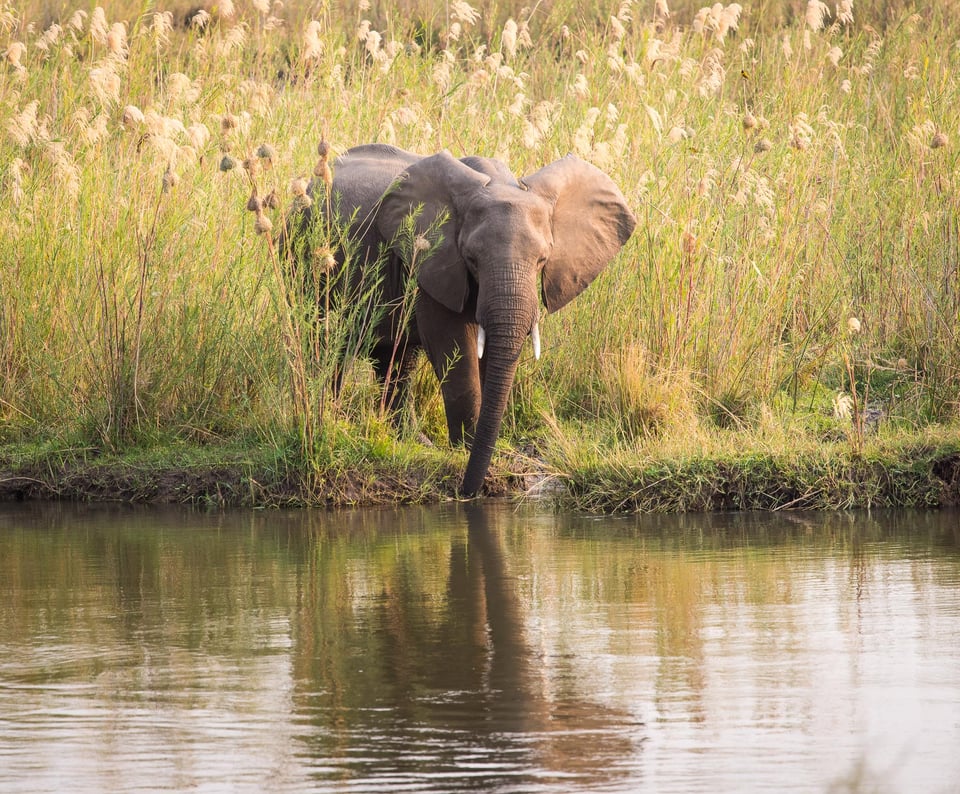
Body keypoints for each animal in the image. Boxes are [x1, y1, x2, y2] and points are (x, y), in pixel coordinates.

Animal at [292, 144, 636, 496]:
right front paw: (467, 449)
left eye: (543, 260)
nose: (465, 491)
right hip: (303, 258)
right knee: (327, 344)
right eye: (471, 258)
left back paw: (414, 442)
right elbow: (452, 345)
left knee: (396, 360)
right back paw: (332, 421)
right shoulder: (434, 259)